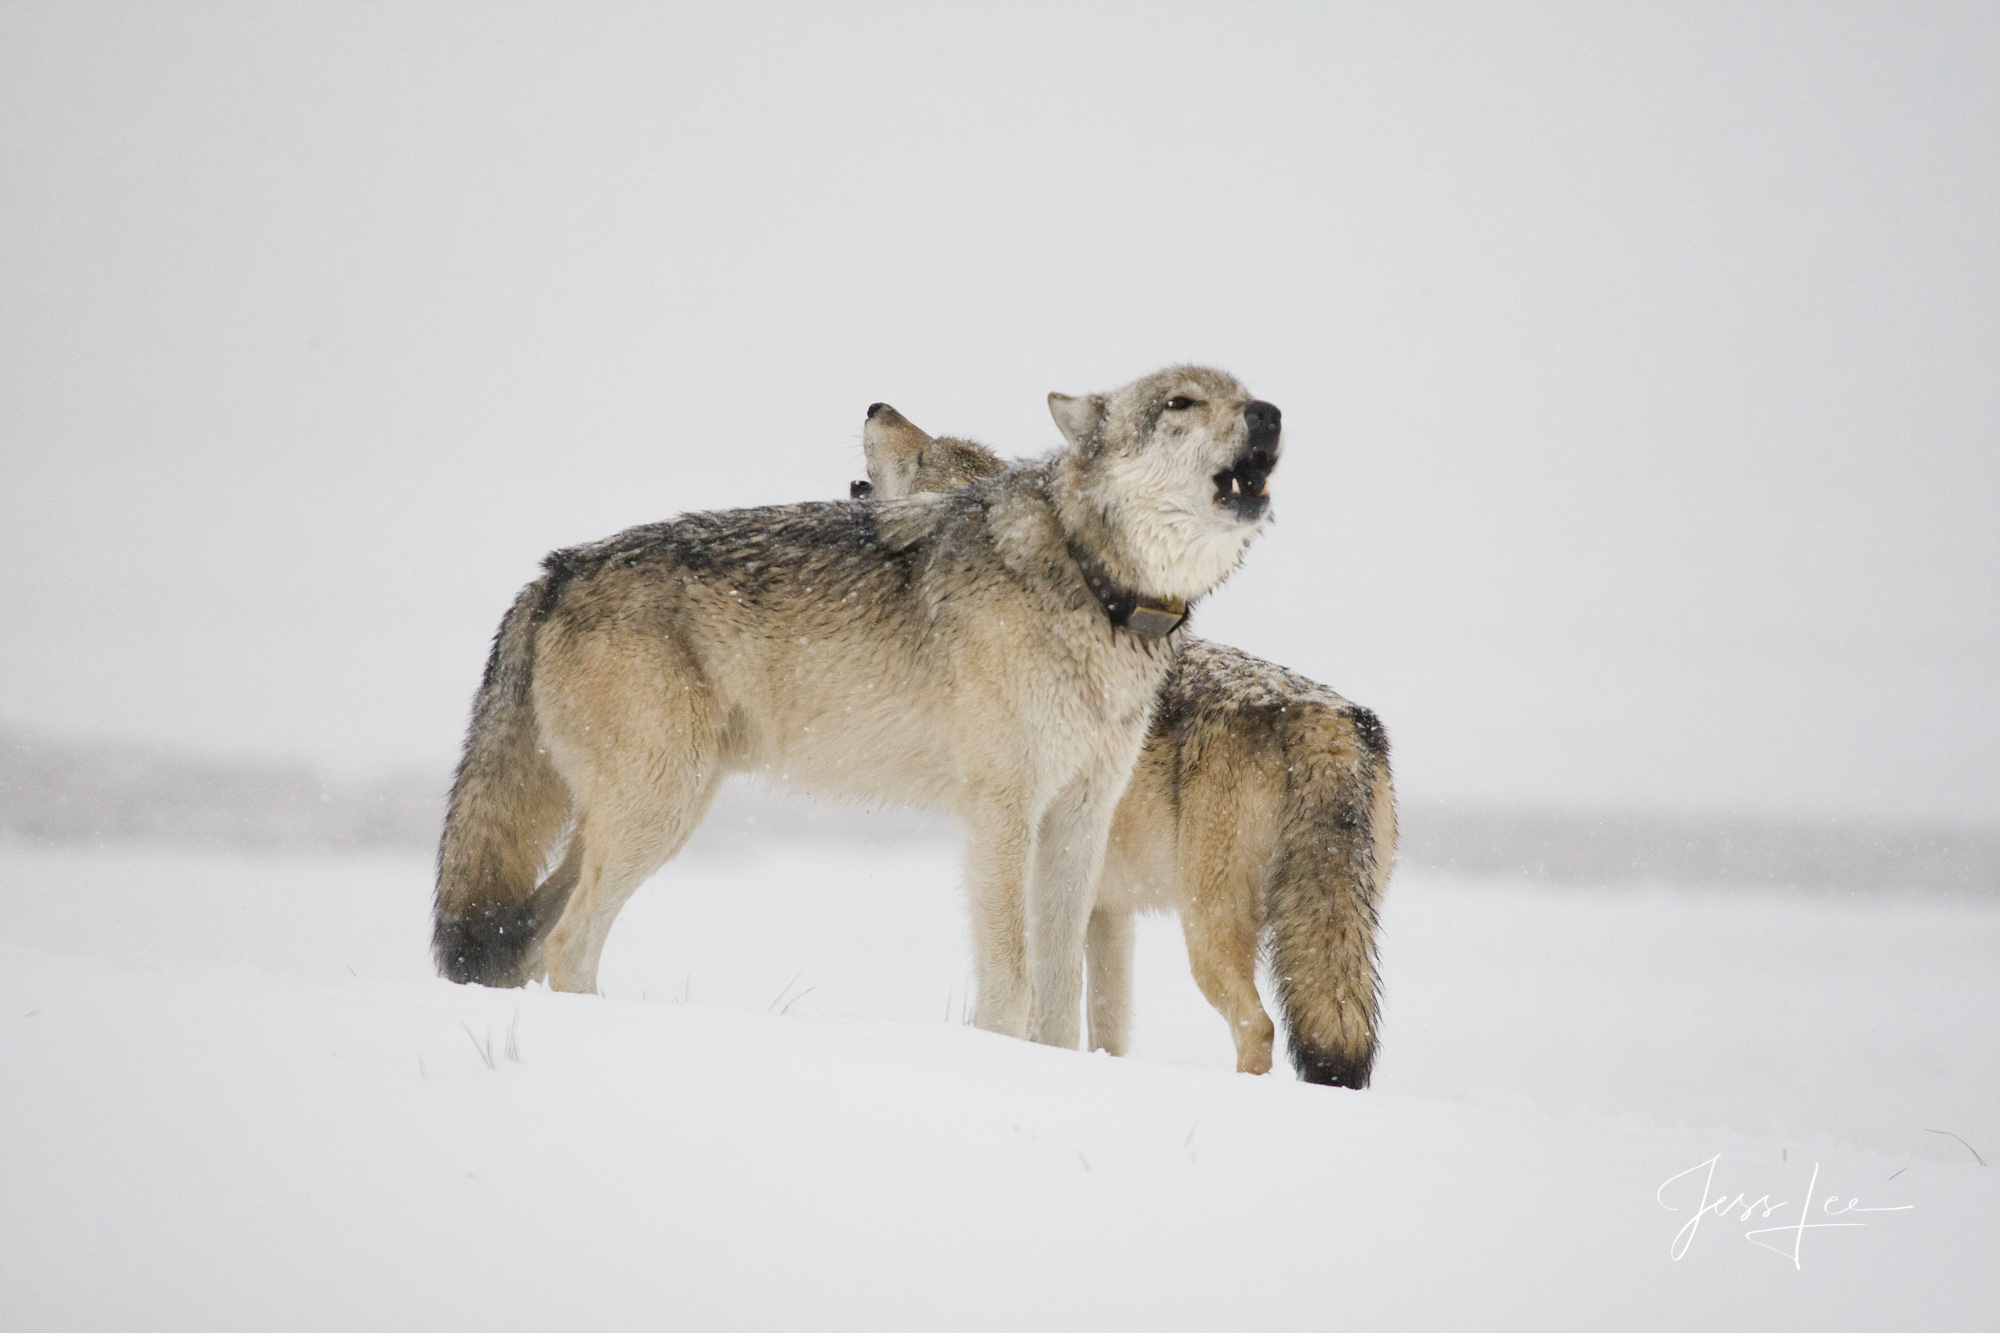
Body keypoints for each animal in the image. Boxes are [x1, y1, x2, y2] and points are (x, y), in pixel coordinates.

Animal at [434, 366, 1280, 1048]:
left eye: (1235, 395)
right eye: (1181, 402)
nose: (1270, 414)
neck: (1091, 585)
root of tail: (554, 569)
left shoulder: (1079, 818)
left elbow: (1061, 993)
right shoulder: (1001, 811)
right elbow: (1012, 981)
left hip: (648, 815)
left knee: (526, 937)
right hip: (658, 815)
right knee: (568, 942)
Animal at [856, 402, 1392, 1080]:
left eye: (925, 456)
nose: (877, 407)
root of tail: (1327, 718)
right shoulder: (1109, 910)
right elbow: (1107, 1026)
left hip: (1208, 930)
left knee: (1259, 1026)